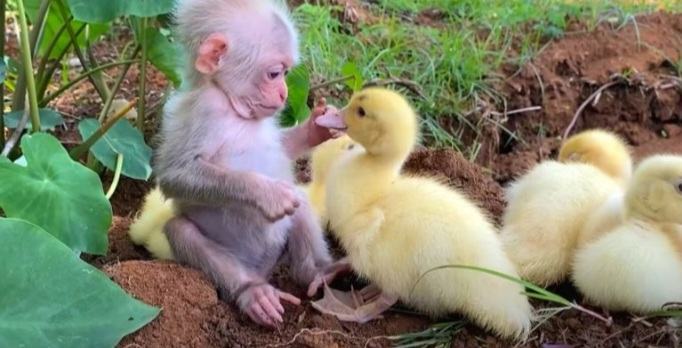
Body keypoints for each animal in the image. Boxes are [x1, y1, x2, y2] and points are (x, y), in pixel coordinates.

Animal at [157, 0, 342, 326]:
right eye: (274, 74)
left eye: (286, 74)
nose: (283, 93)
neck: (232, 106)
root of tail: (262, 268)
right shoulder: (204, 110)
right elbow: (174, 176)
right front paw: (267, 193)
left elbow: (282, 148)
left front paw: (316, 128)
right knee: (180, 230)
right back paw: (253, 292)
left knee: (301, 201)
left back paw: (318, 272)